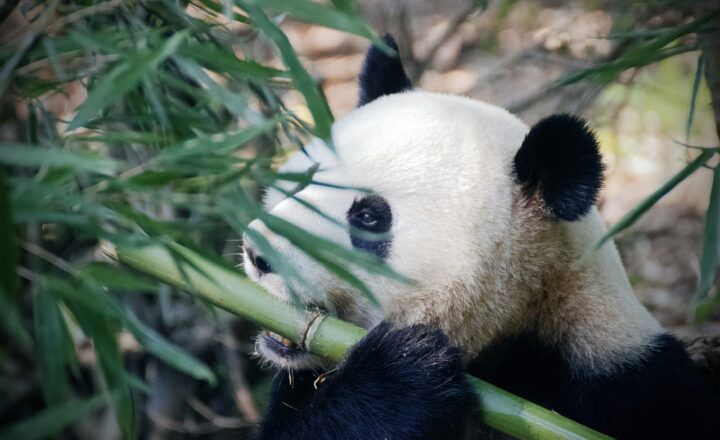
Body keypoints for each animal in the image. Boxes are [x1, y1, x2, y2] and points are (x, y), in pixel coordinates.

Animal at [242, 35, 719, 439]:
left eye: (369, 217)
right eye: (305, 177)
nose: (257, 252)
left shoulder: (625, 379)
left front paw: (404, 369)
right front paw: (402, 374)